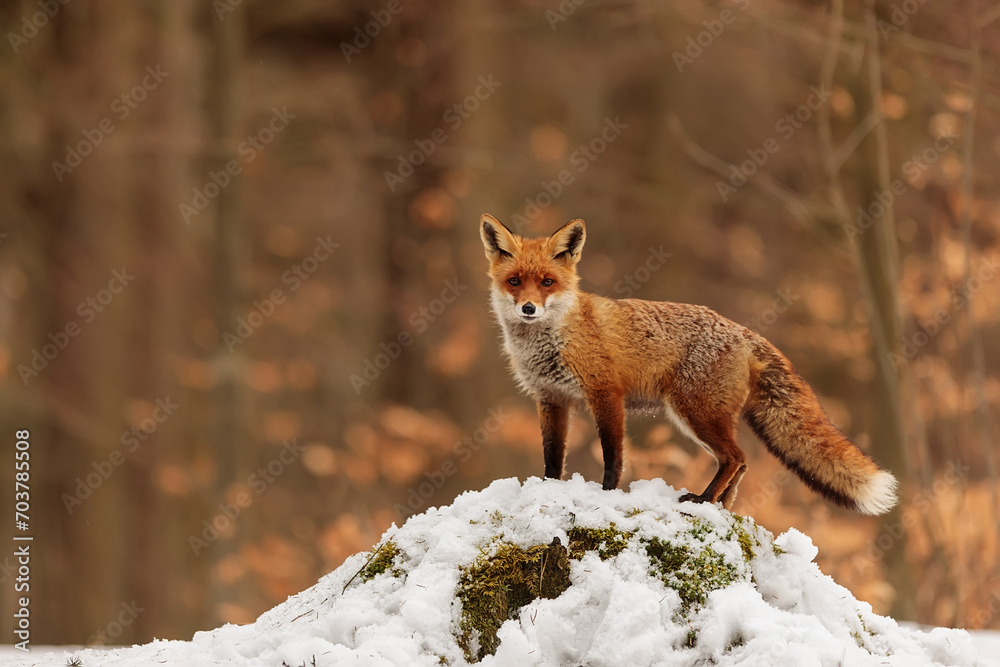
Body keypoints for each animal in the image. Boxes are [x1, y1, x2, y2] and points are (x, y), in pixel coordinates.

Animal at [479, 213, 898, 515]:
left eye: (547, 282)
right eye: (515, 281)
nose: (528, 308)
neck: (552, 339)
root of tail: (744, 331)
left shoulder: (605, 393)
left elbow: (613, 457)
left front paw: (606, 495)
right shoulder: (551, 398)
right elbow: (552, 459)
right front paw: (546, 491)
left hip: (694, 412)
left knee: (736, 457)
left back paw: (702, 500)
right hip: (698, 417)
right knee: (741, 464)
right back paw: (721, 507)